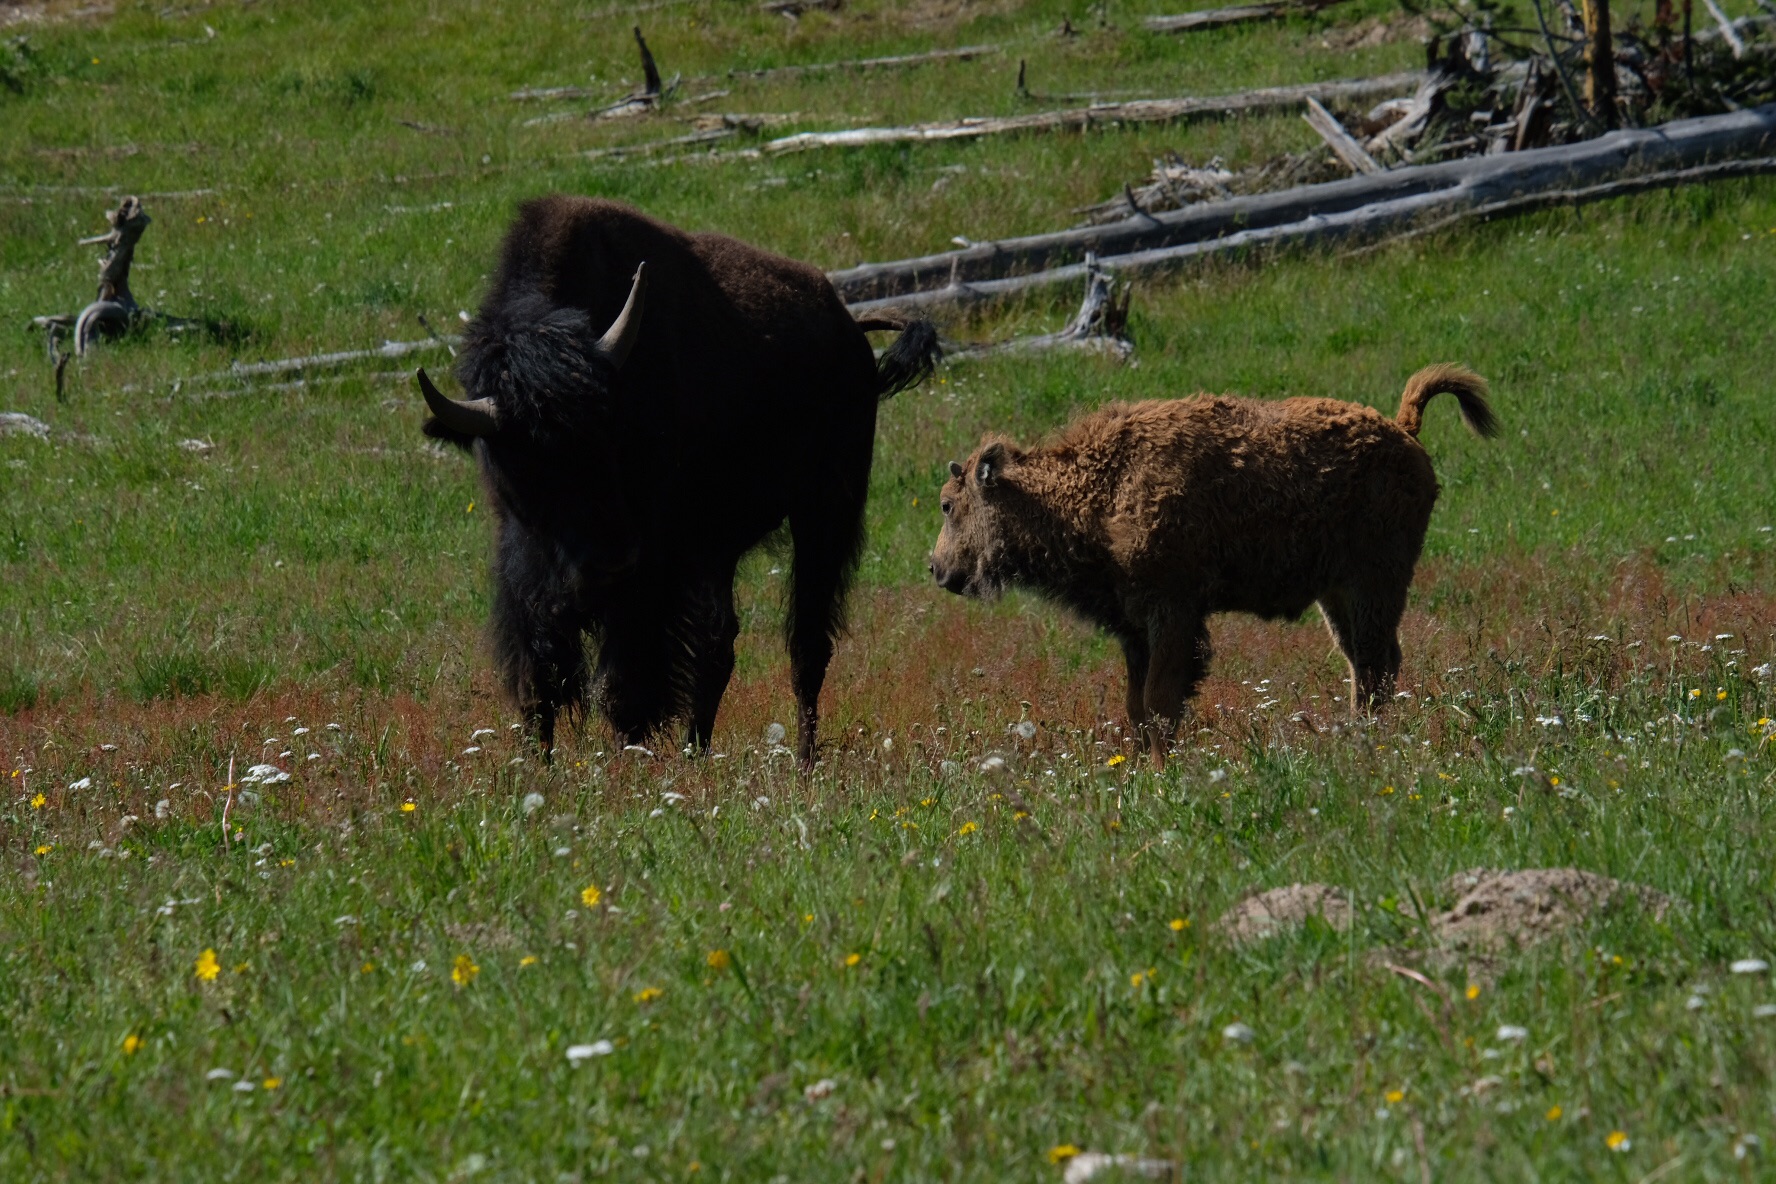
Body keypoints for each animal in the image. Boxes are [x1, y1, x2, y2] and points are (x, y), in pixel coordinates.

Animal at [419, 194, 944, 770]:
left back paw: (803, 763)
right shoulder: (528, 572)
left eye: (611, 432)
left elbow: (624, 688)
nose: (607, 562)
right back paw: (699, 752)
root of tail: (850, 329)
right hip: (722, 546)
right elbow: (540, 680)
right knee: (721, 646)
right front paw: (539, 767)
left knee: (806, 646)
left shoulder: (651, 577)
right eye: (521, 459)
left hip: (823, 516)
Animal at [930, 365, 1498, 763]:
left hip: (1375, 583)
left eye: (947, 504)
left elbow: (1159, 701)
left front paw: (1162, 771)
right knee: (1364, 662)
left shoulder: (1173, 614)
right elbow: (1137, 706)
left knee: (1377, 664)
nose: (935, 569)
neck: (1103, 484)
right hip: (1337, 594)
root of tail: (1404, 431)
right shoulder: (1135, 627)